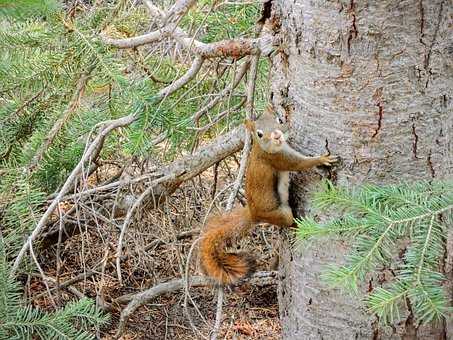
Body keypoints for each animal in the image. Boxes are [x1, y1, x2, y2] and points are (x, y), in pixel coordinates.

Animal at [200, 108, 338, 284]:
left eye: (279, 120)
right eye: (259, 134)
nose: (277, 135)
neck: (263, 148)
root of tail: (253, 215)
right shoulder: (278, 159)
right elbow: (300, 164)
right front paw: (322, 159)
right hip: (280, 214)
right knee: (288, 222)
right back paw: (298, 225)